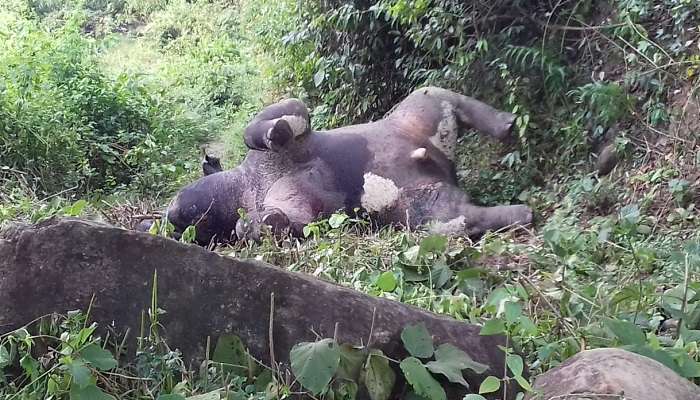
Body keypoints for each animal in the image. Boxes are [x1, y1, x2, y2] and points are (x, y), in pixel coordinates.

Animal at [152, 86, 532, 245]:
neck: (249, 186)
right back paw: (523, 212)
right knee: (464, 219)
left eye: (184, 210)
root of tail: (443, 165)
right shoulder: (302, 210)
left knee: (449, 96)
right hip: (429, 213)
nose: (169, 217)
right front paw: (260, 224)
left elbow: (279, 115)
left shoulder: (279, 137)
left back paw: (507, 124)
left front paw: (277, 132)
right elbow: (285, 222)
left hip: (421, 104)